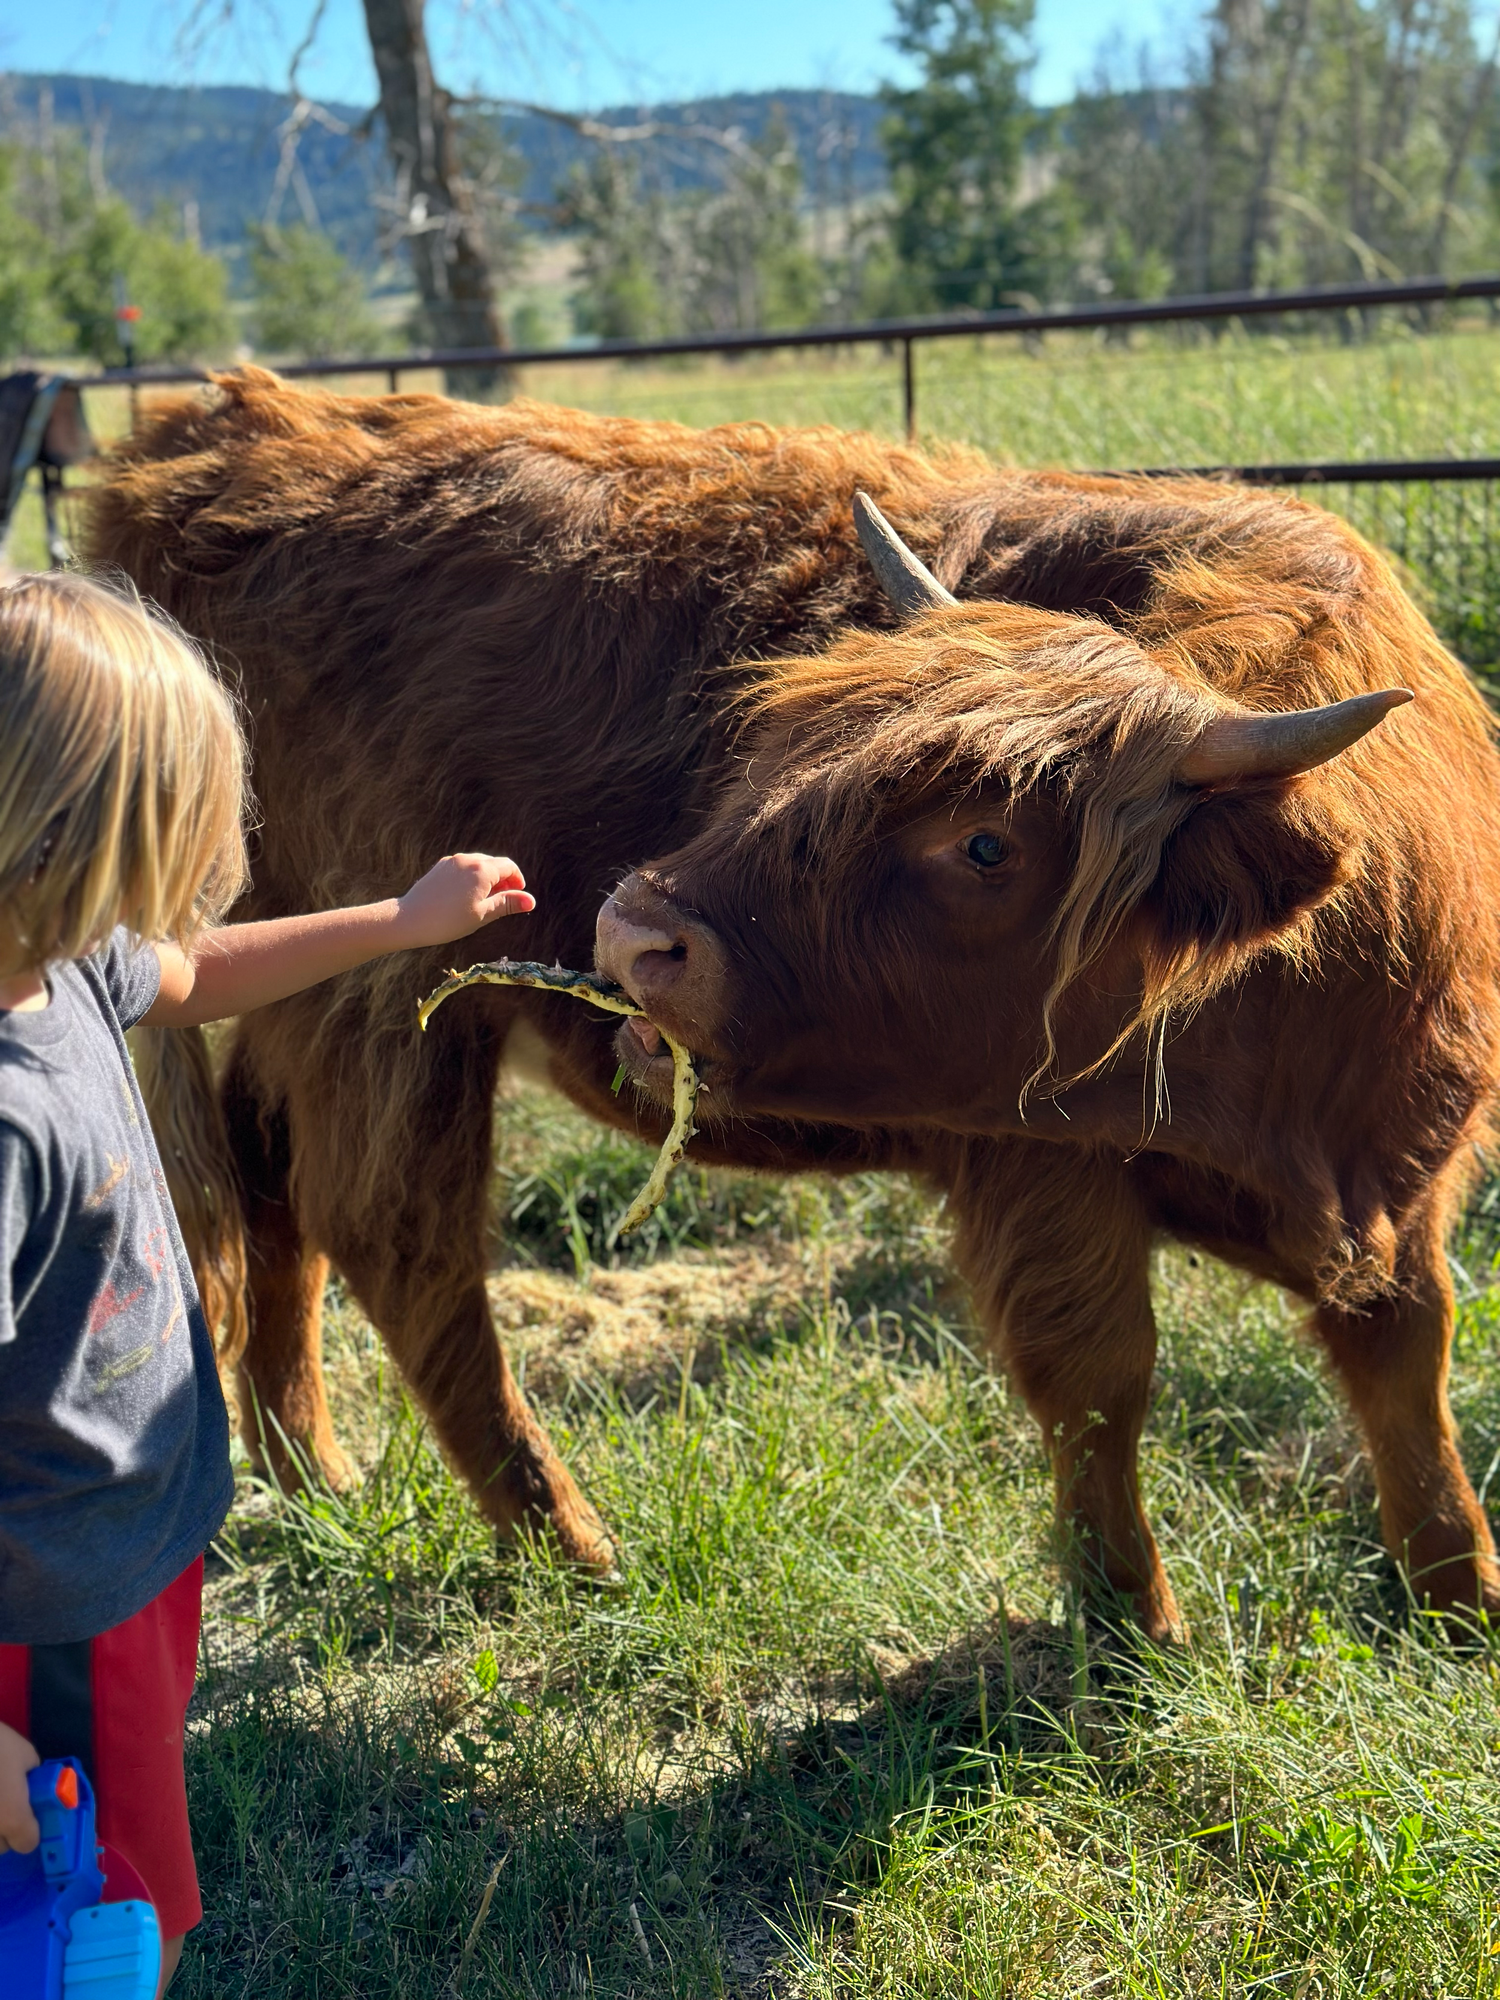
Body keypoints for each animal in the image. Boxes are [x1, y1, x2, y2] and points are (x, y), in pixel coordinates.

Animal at [88, 368, 1500, 1641]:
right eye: (780, 743)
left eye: (986, 843)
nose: (631, 930)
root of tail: (211, 437)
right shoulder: (1040, 1168)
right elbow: (1099, 1386)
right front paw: (1132, 1632)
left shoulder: (1408, 1171)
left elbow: (1406, 1349)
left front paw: (1459, 1595)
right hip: (384, 999)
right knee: (397, 1233)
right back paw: (566, 1540)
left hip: (307, 989)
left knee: (269, 1183)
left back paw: (306, 1467)